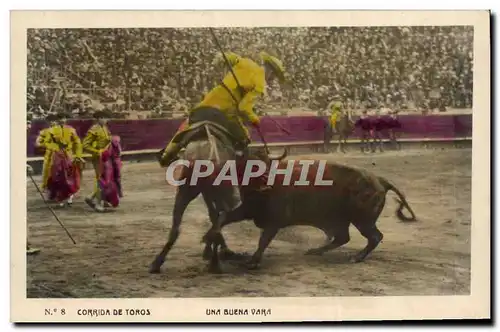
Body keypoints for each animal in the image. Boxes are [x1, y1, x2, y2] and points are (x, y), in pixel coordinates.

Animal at [201, 158, 416, 270]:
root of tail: (380, 180)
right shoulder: (248, 209)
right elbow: (223, 217)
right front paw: (208, 238)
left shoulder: (273, 221)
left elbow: (263, 240)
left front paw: (253, 261)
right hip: (342, 220)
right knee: (343, 237)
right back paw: (316, 251)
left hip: (361, 220)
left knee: (374, 237)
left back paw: (356, 257)